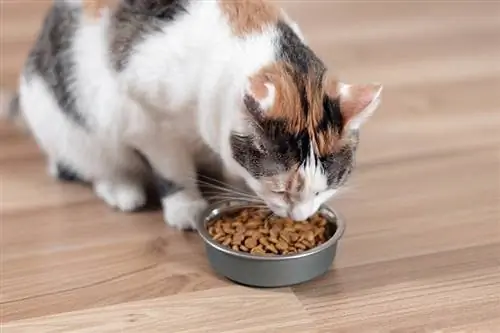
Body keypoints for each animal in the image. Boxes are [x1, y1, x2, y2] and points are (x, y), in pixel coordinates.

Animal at [5, 0, 382, 228]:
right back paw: (123, 190)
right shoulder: (148, 120)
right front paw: (185, 205)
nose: (300, 217)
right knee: (90, 166)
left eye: (323, 191)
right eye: (280, 192)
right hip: (74, 128)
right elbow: (172, 169)